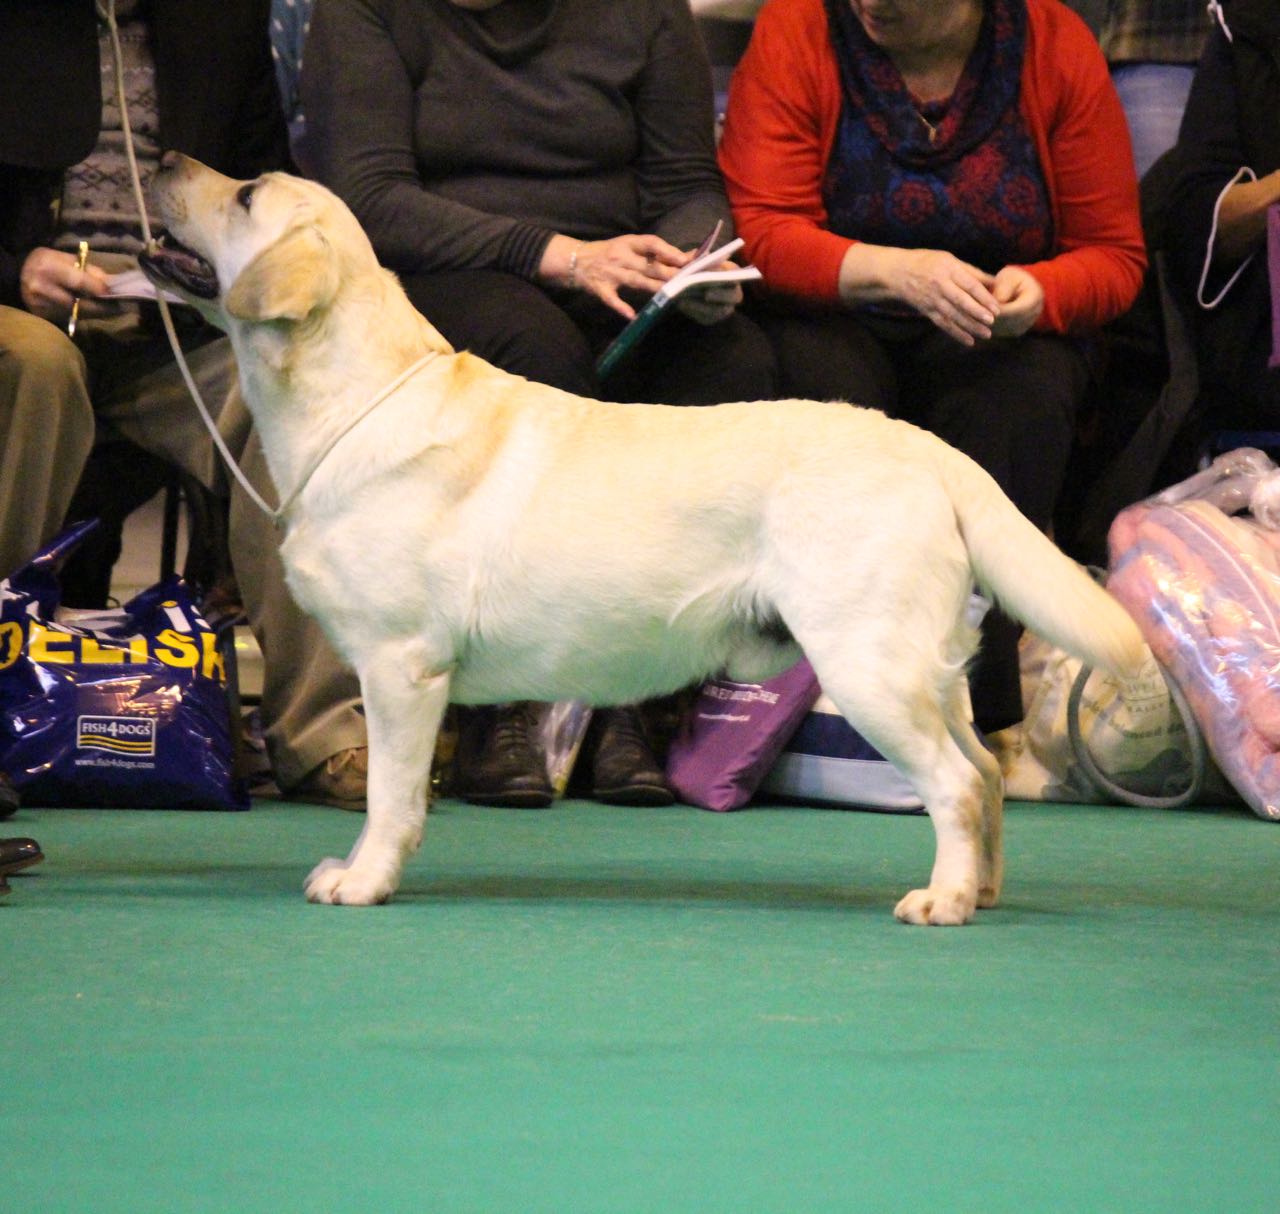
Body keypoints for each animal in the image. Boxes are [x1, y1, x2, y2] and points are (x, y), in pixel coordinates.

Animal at [145, 156, 1146, 927]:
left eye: (245, 194)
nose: (160, 161)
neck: (351, 399)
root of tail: (928, 446)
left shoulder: (401, 667)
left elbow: (391, 797)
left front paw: (361, 880)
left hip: (867, 665)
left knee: (956, 785)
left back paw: (940, 903)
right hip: (923, 669)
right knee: (983, 775)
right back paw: (980, 892)